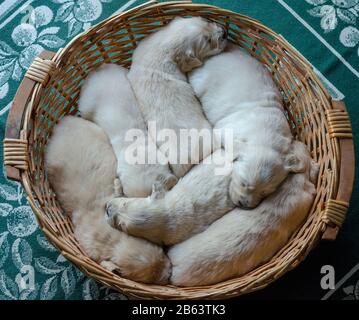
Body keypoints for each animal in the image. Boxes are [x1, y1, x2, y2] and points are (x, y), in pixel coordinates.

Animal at [45, 116, 172, 284]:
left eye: (162, 252)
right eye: (152, 281)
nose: (170, 272)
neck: (111, 239)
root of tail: (62, 122)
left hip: (96, 130)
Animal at [190, 43, 308, 209]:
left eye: (265, 192)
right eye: (244, 183)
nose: (245, 205)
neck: (266, 139)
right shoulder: (224, 131)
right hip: (198, 78)